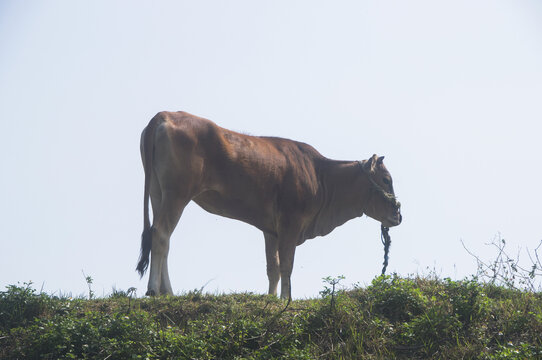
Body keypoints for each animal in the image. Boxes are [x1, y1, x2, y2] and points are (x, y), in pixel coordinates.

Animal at [136, 112, 402, 298]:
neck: (321, 176)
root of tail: (165, 114)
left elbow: (272, 267)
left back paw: (167, 292)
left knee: (163, 237)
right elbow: (286, 264)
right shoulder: (291, 222)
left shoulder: (270, 229)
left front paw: (271, 299)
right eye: (386, 179)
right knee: (161, 234)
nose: (398, 215)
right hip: (177, 194)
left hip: (158, 193)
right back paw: (154, 290)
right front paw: (286, 299)